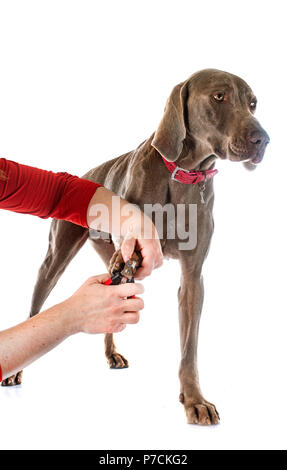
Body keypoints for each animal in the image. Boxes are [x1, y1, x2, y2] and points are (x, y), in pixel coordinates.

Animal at [1, 70, 270, 426]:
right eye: (219, 97)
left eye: (253, 103)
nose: (263, 139)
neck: (182, 175)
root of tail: (87, 175)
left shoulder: (193, 277)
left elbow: (189, 346)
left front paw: (194, 399)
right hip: (55, 257)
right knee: (36, 306)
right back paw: (15, 371)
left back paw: (111, 353)